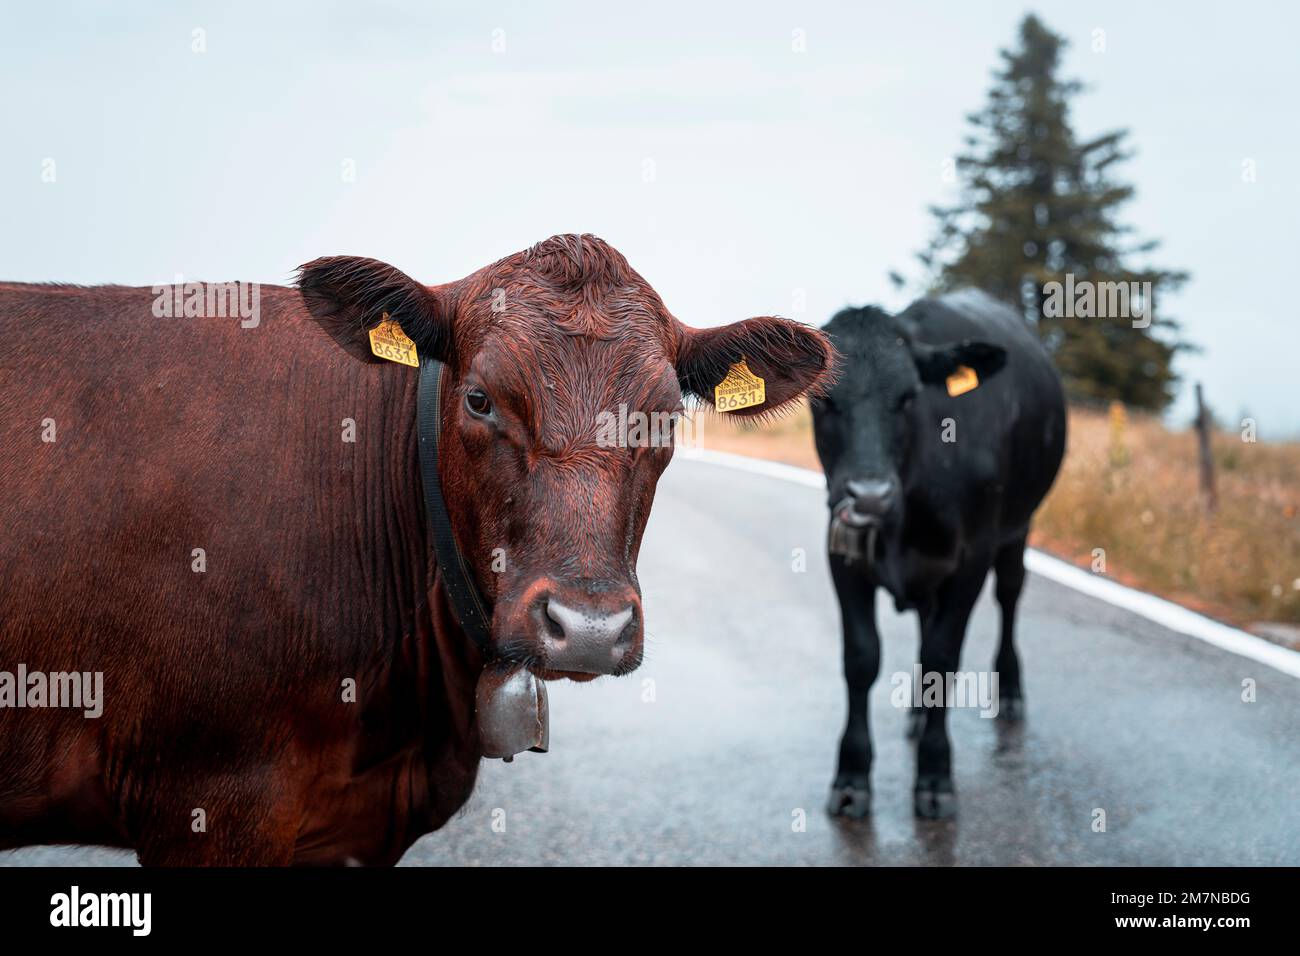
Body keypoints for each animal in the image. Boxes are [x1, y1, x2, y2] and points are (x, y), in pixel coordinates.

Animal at [811, 287, 1066, 816]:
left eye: (908, 397)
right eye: (823, 399)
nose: (869, 495)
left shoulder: (972, 559)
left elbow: (942, 659)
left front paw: (934, 774)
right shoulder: (841, 550)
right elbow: (861, 657)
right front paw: (851, 776)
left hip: (1018, 528)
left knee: (1010, 596)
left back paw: (1010, 691)